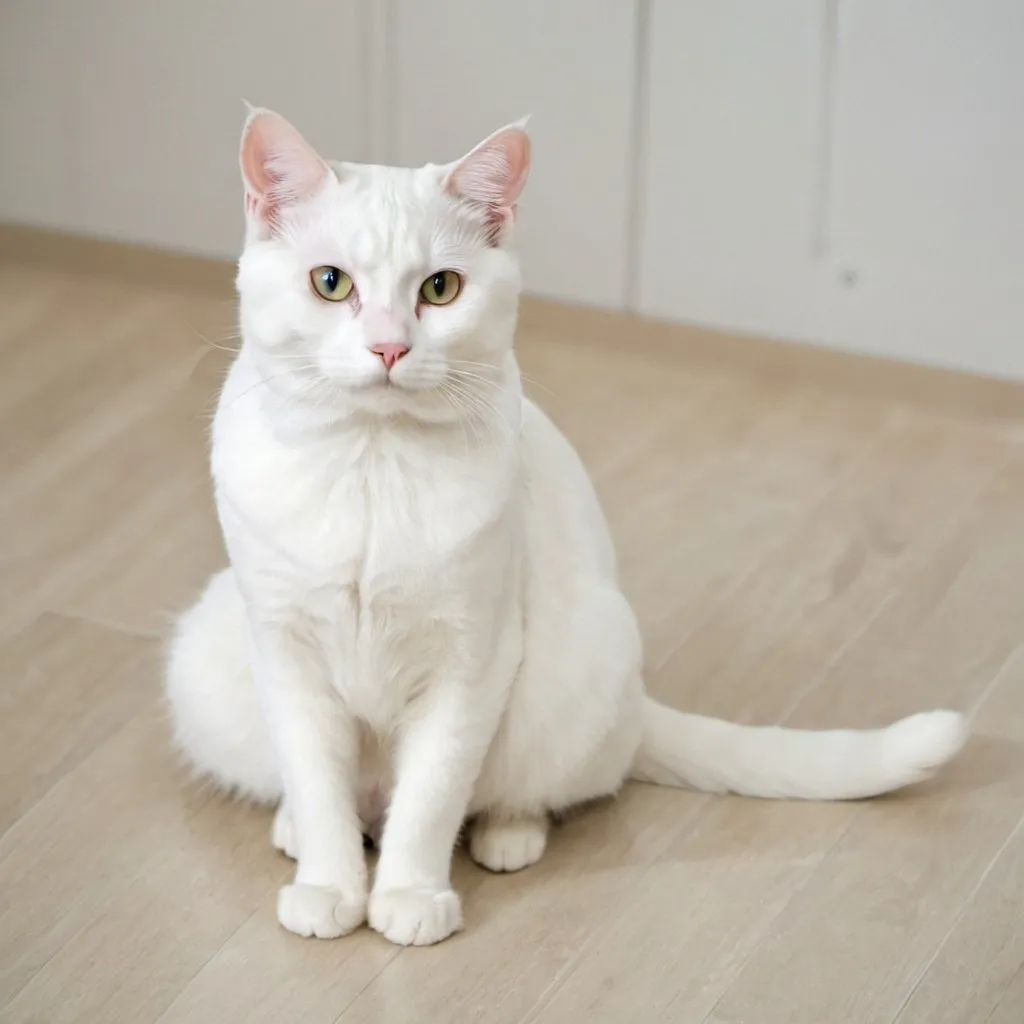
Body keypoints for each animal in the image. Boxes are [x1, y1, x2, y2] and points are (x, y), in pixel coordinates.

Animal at [165, 108, 966, 946]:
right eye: (331, 283)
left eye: (440, 289)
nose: (389, 346)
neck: (372, 466)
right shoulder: (285, 652)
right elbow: (319, 784)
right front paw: (329, 886)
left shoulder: (472, 661)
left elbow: (431, 797)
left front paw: (411, 896)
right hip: (210, 654)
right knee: (337, 799)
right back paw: (299, 830)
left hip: (582, 659)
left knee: (509, 794)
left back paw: (508, 836)